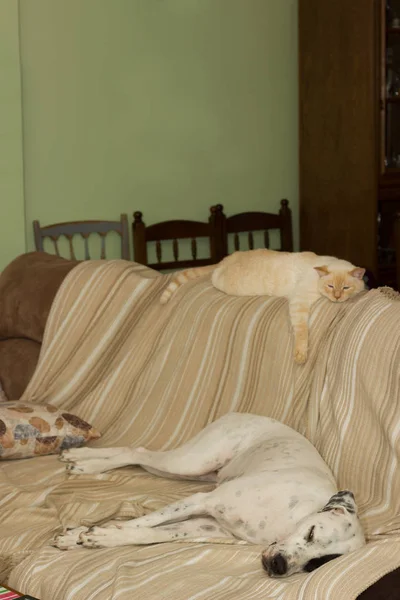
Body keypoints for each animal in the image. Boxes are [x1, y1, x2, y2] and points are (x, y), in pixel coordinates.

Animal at [159, 250, 366, 366]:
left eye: (345, 288)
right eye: (330, 286)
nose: (337, 297)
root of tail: (224, 259)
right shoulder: (299, 301)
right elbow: (302, 331)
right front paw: (301, 355)